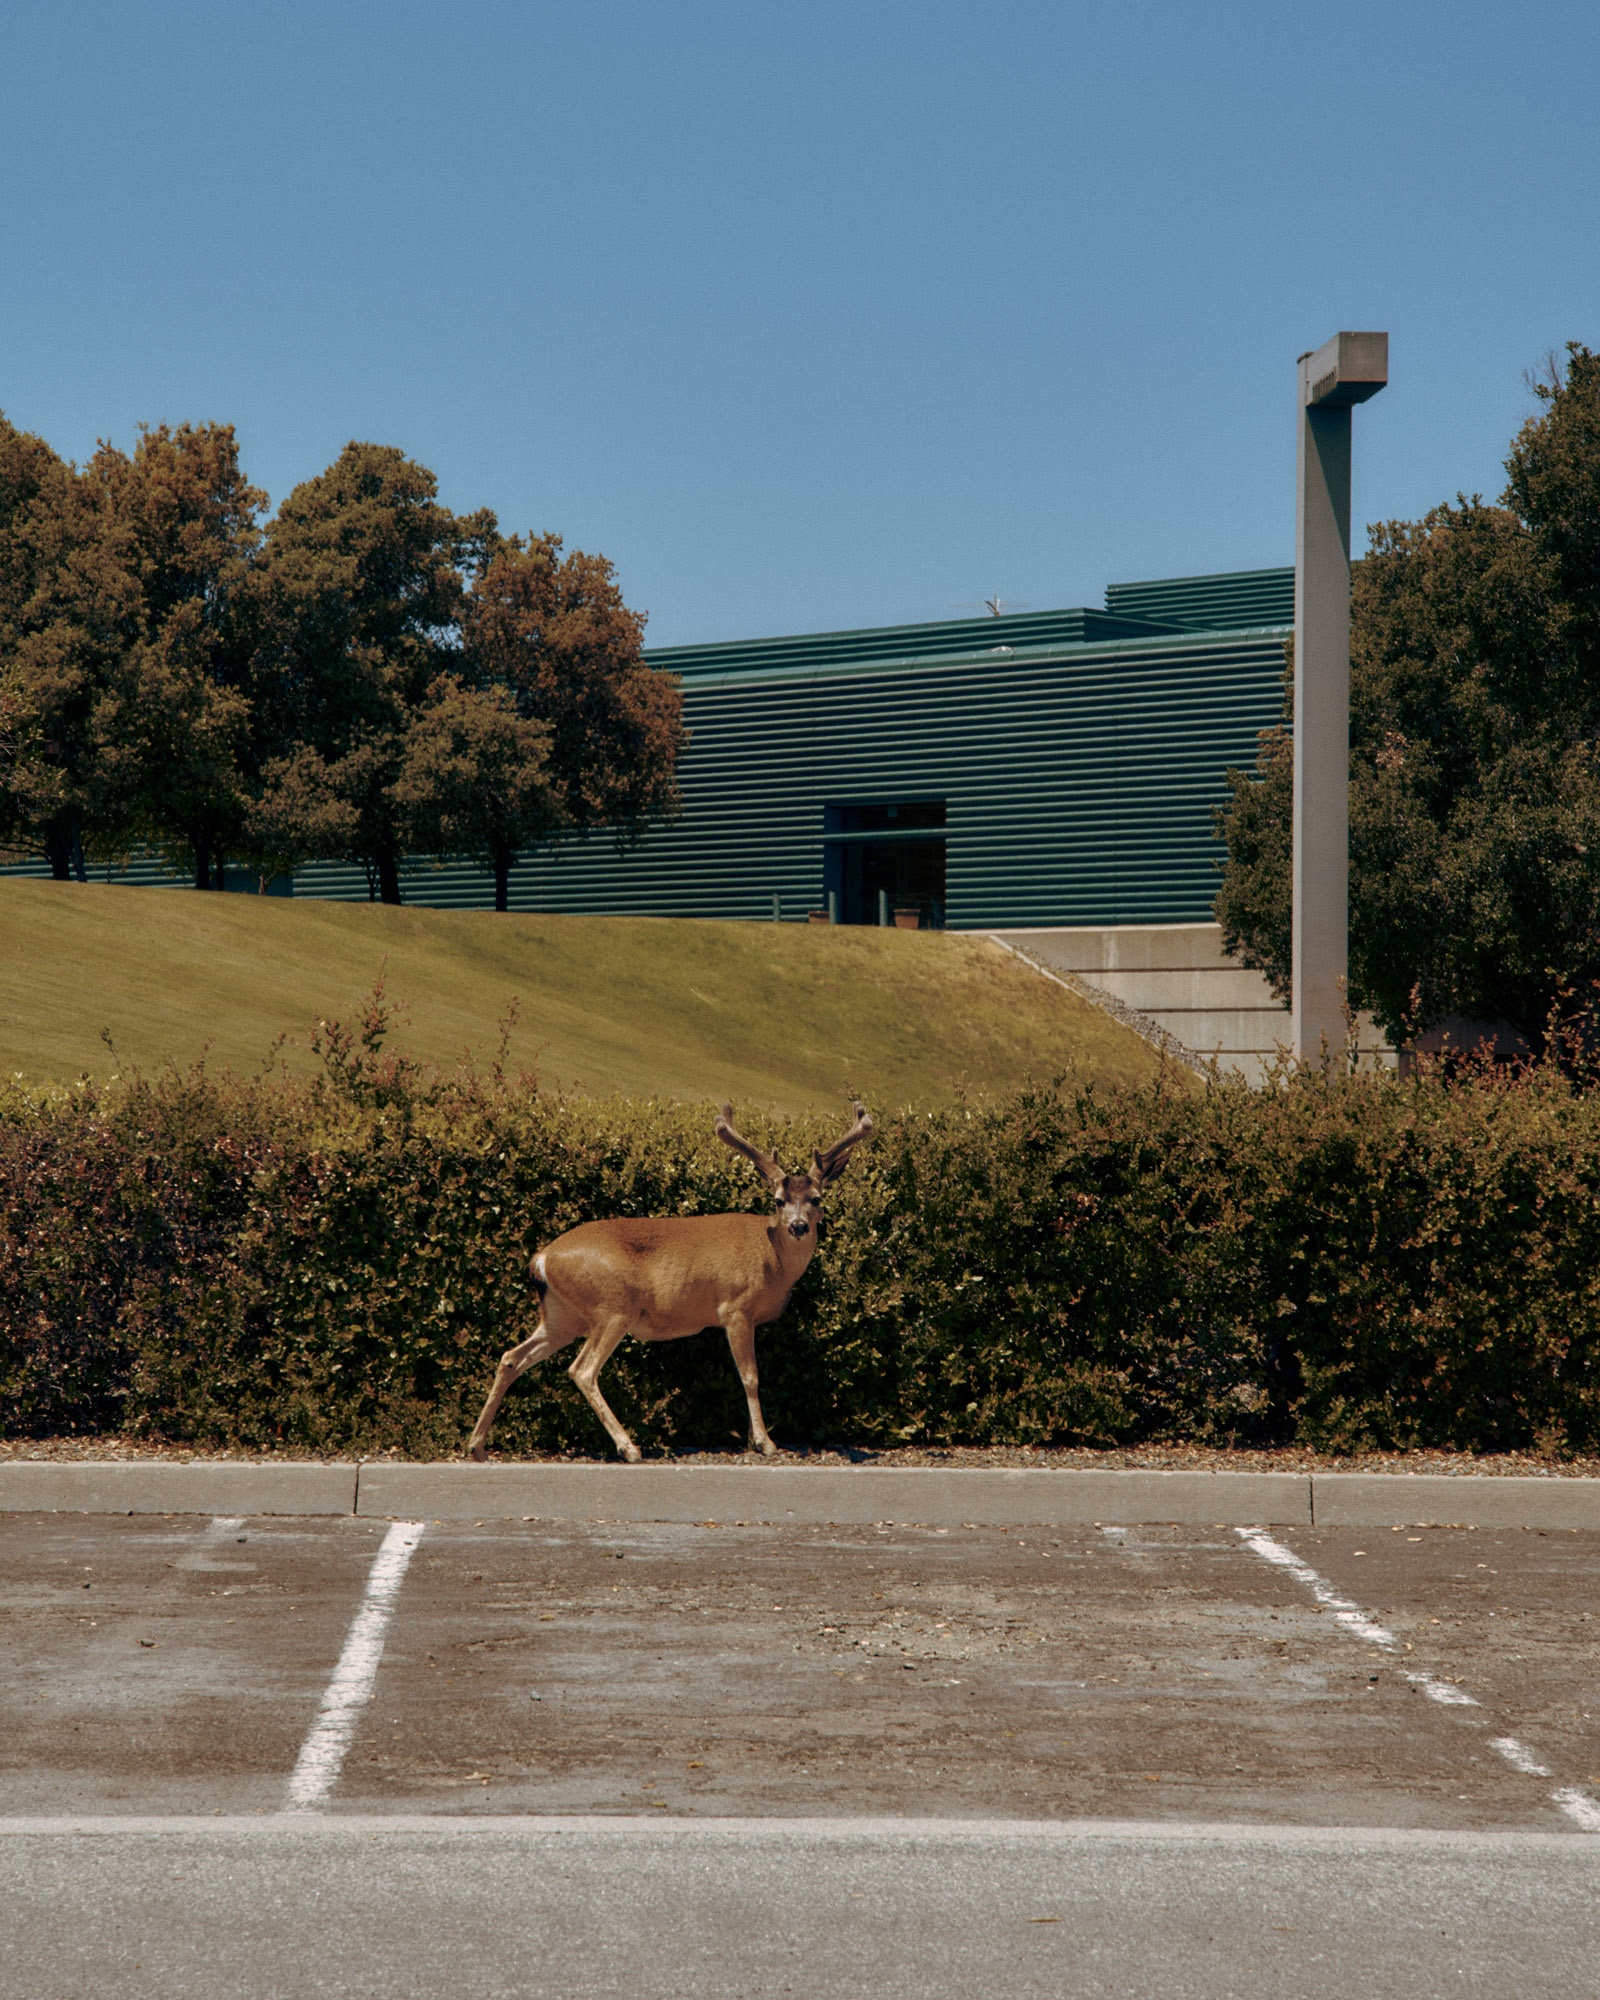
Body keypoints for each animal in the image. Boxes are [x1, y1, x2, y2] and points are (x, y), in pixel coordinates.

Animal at [467, 1099, 874, 1464]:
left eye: (816, 1198)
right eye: (778, 1200)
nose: (799, 1226)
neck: (771, 1256)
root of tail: (542, 1258)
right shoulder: (735, 1307)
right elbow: (750, 1376)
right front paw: (765, 1443)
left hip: (561, 1316)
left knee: (511, 1357)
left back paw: (477, 1446)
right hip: (613, 1305)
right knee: (581, 1369)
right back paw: (629, 1448)